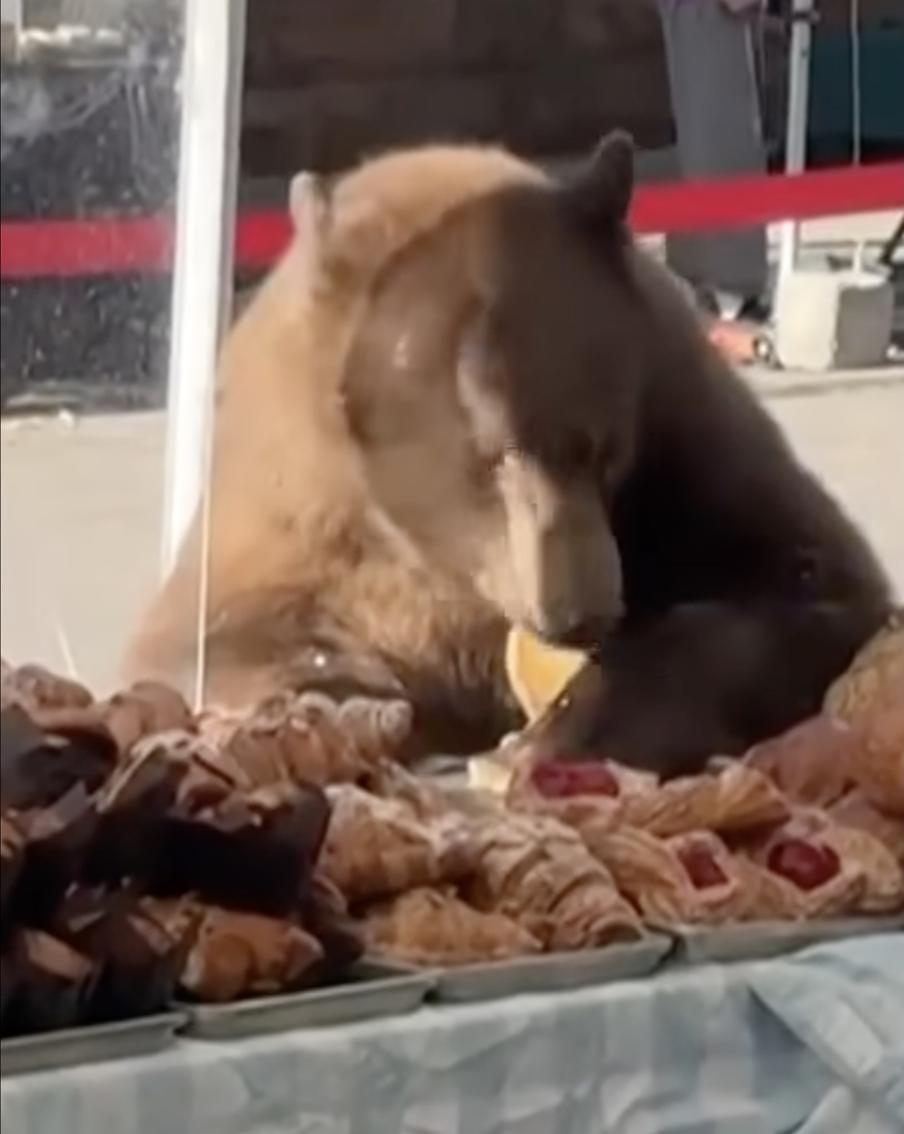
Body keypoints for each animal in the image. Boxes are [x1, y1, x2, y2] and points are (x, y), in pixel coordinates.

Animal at [124, 132, 892, 775]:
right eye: (491, 456)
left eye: (601, 447)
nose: (582, 612)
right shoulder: (290, 500)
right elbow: (198, 640)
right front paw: (351, 700)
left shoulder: (684, 430)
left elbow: (817, 585)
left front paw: (568, 724)